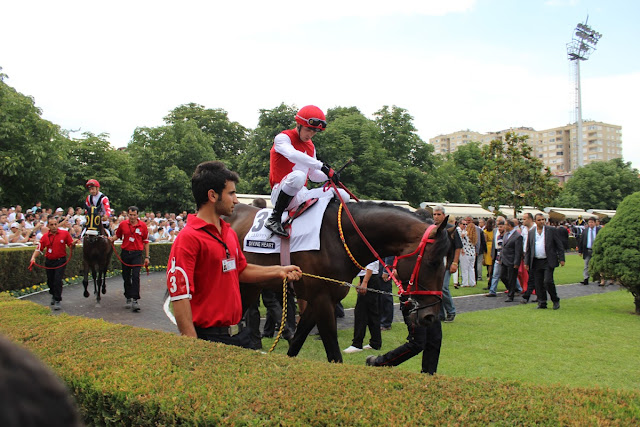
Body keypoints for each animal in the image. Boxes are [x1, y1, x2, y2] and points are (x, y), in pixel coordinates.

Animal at [228, 199, 452, 362]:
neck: (335, 237)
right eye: (433, 262)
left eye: (446, 261)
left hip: (250, 286)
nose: (431, 316)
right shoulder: (322, 300)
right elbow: (334, 355)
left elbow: (297, 342)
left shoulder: (318, 300)